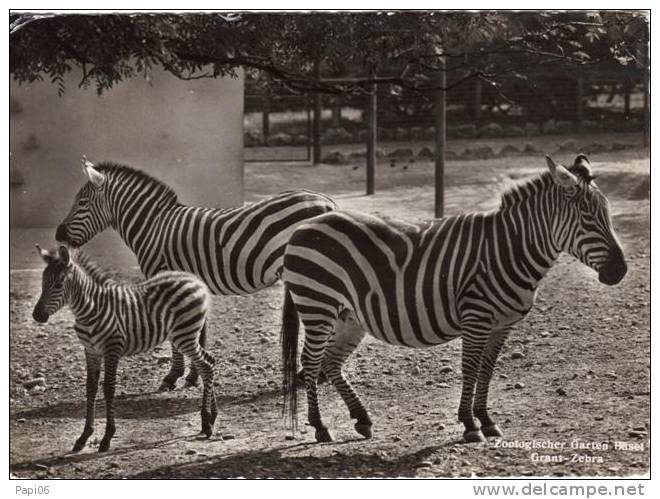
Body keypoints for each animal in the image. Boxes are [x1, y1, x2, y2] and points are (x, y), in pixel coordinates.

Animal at [32, 246, 214, 454]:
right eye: (43, 281)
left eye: (59, 283)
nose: (37, 315)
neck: (90, 309)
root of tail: (195, 280)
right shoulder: (91, 351)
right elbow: (91, 388)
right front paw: (84, 436)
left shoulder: (112, 348)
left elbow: (109, 388)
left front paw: (107, 437)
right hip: (187, 335)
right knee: (209, 362)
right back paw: (210, 419)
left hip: (185, 335)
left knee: (206, 366)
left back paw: (207, 422)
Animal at [55, 158, 336, 392]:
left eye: (81, 203)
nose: (59, 234)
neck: (153, 227)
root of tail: (326, 201)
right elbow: (198, 332)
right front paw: (193, 376)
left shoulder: (165, 278)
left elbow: (177, 335)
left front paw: (173, 377)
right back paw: (318, 373)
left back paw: (314, 374)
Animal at [282, 154, 628, 444]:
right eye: (587, 218)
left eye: (608, 214)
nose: (620, 271)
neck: (509, 250)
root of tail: (305, 225)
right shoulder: (476, 319)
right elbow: (471, 369)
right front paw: (470, 425)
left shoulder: (502, 325)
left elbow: (487, 370)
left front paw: (486, 420)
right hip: (318, 306)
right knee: (311, 362)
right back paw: (321, 427)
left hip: (349, 316)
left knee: (331, 361)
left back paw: (362, 419)